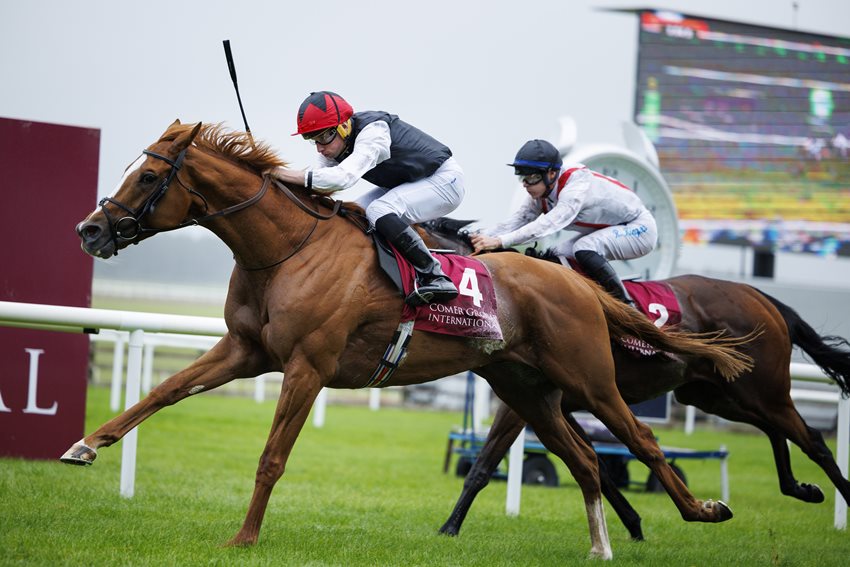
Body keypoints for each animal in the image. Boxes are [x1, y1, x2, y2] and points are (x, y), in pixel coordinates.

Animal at [69, 122, 752, 560]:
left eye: (148, 175)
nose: (90, 230)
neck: (287, 249)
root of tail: (575, 280)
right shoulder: (244, 351)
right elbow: (163, 391)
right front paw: (86, 445)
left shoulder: (308, 366)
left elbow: (272, 457)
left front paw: (243, 539)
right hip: (526, 390)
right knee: (586, 462)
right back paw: (601, 546)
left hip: (589, 378)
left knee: (642, 443)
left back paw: (702, 510)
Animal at [420, 217, 848, 540]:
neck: (510, 293)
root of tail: (762, 297)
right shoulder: (560, 401)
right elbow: (599, 465)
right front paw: (634, 525)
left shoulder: (530, 400)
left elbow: (483, 465)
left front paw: (449, 527)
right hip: (714, 395)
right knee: (777, 430)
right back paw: (799, 487)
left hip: (763, 390)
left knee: (813, 440)